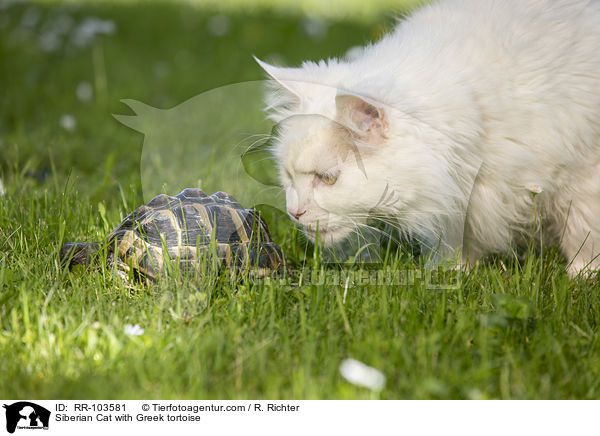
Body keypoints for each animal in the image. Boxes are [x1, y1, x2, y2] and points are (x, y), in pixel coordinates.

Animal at [255, 0, 600, 276]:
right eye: (288, 176)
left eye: (328, 179)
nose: (294, 212)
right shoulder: (462, 202)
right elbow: (456, 244)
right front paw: (452, 274)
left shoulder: (584, 179)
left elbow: (584, 234)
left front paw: (581, 277)